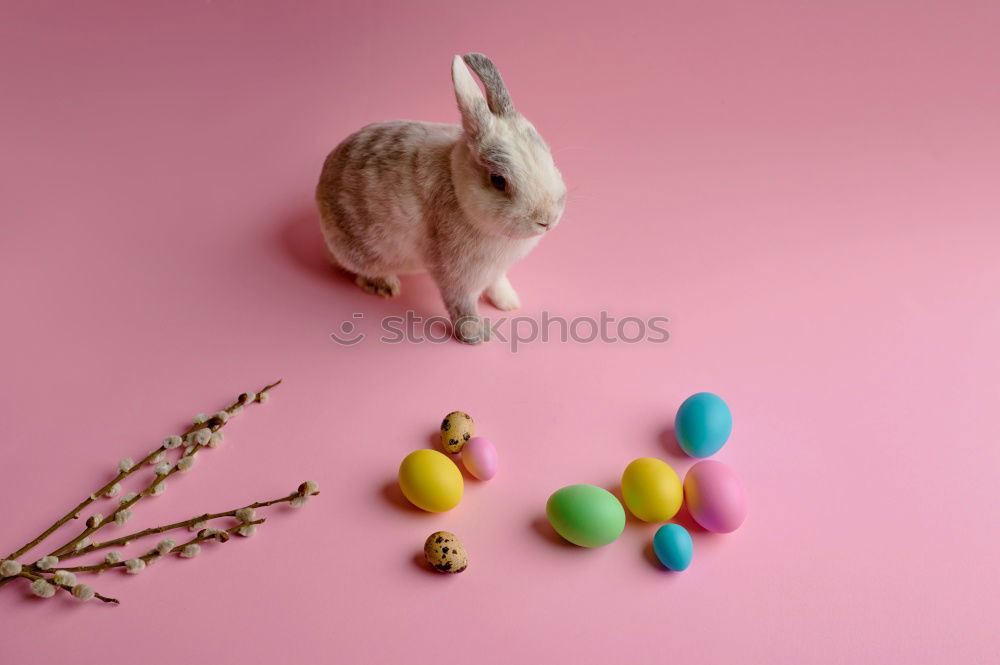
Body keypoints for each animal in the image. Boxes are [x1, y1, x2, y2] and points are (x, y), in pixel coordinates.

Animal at [316, 53, 568, 342]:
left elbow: (497, 283)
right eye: (498, 180)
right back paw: (386, 286)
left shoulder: (495, 270)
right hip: (362, 249)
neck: (458, 188)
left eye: (548, 155)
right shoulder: (457, 274)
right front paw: (477, 336)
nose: (547, 219)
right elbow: (462, 306)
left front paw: (509, 303)